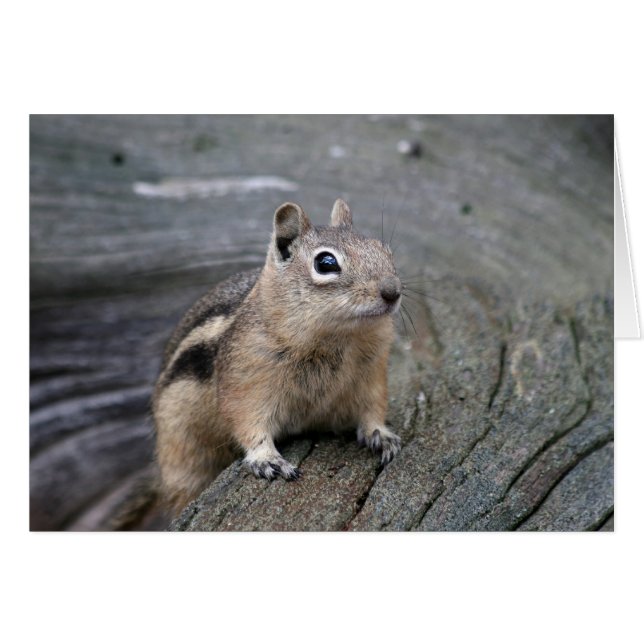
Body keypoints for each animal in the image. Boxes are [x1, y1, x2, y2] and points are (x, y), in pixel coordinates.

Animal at [144, 198, 403, 518]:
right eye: (326, 263)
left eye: (385, 249)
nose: (392, 291)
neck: (338, 337)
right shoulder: (246, 379)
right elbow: (247, 420)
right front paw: (266, 458)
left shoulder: (371, 373)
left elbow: (372, 407)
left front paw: (381, 435)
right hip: (184, 455)